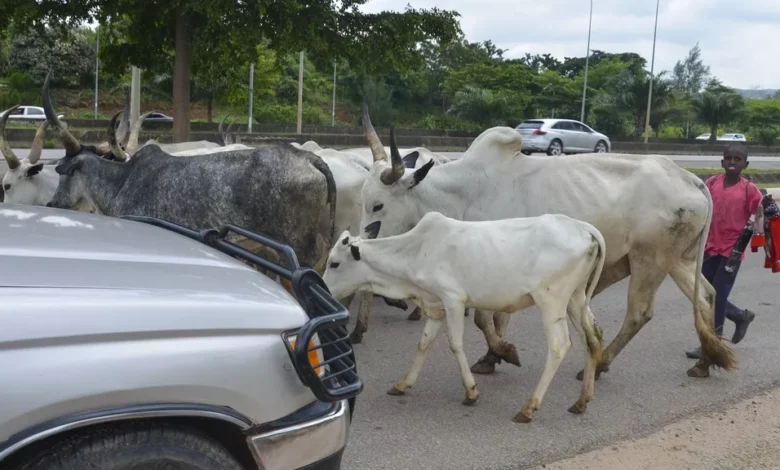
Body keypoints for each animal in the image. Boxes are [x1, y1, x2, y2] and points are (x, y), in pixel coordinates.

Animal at [323, 211, 607, 423]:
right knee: (592, 339)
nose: (325, 291)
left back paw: (529, 408)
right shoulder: (436, 306)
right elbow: (423, 344)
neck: (416, 251)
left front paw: (471, 392)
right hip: (575, 298)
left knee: (560, 346)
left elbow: (455, 344)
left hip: (551, 301)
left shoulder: (453, 300)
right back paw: (581, 401)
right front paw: (403, 384)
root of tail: (582, 227)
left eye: (334, 263)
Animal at [357, 106, 737, 380]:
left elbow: (486, 319)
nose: (359, 246)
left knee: (639, 313)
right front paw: (492, 357)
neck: (462, 192)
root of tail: (689, 177)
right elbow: (491, 319)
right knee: (706, 296)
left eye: (378, 205)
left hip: (650, 259)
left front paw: (502, 352)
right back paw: (704, 362)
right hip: (680, 259)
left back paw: (600, 364)